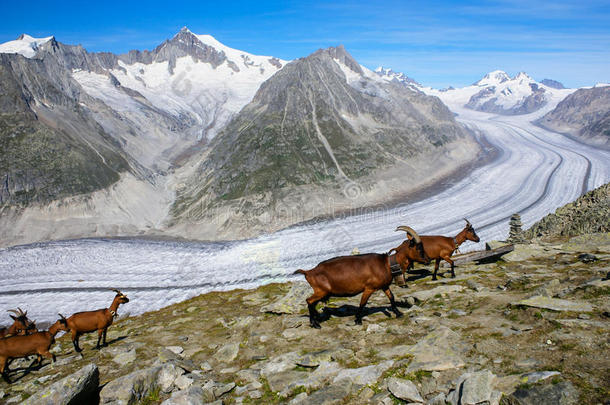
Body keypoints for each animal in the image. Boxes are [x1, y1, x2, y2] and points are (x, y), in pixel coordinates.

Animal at [292, 226, 426, 326]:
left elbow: (391, 297)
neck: (386, 264)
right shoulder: (369, 288)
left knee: (312, 303)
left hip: (322, 293)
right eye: (419, 248)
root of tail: (309, 272)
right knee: (309, 301)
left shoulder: (384, 286)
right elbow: (362, 303)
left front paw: (398, 313)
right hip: (322, 291)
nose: (427, 259)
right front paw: (357, 320)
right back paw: (315, 324)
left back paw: (316, 319)